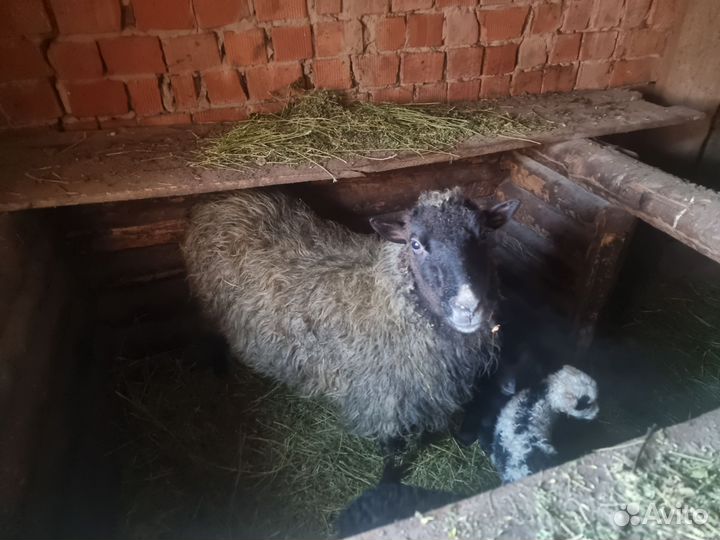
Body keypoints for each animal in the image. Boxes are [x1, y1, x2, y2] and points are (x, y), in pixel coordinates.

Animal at [182, 188, 519, 451]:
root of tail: (219, 201)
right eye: (415, 244)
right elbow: (392, 448)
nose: (469, 307)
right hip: (209, 308)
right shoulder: (384, 403)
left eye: (484, 236)